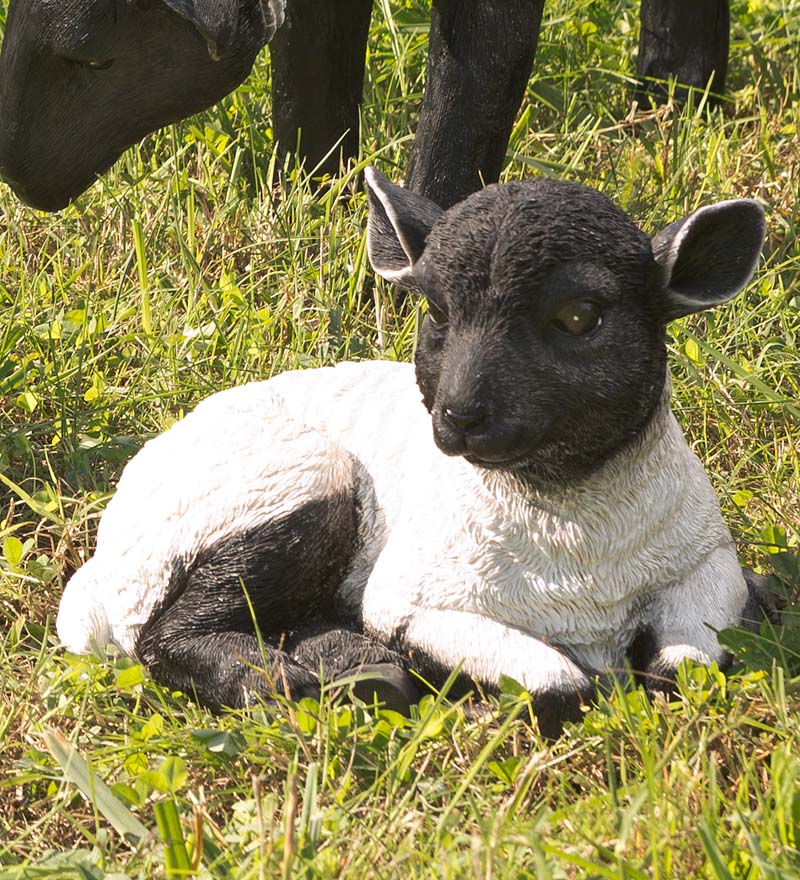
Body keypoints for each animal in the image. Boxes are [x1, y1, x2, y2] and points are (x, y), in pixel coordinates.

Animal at [0, 0, 730, 211]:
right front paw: (307, 204)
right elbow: (310, 70)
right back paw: (673, 98)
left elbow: (465, 105)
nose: (14, 174)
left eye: (95, 60)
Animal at [57, 167, 768, 737]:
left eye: (580, 315)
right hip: (276, 486)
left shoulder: (706, 564)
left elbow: (688, 666)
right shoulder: (415, 596)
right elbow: (559, 685)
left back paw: (357, 668)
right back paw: (287, 679)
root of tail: (102, 562)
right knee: (164, 632)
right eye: (437, 313)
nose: (458, 417)